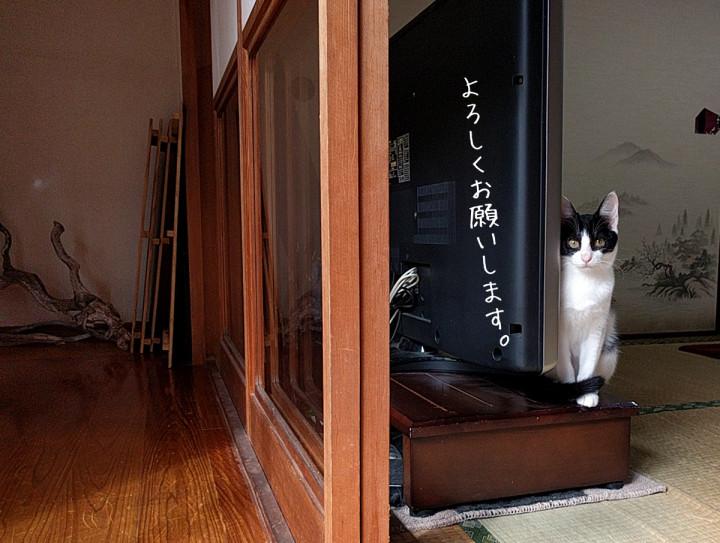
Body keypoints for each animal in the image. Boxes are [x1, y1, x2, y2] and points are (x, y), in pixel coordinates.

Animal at [547, 191, 620, 408]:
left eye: (599, 242)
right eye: (573, 243)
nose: (586, 257)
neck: (584, 281)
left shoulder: (598, 326)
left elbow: (590, 358)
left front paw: (587, 393)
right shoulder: (558, 328)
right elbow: (564, 361)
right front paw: (572, 388)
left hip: (610, 350)